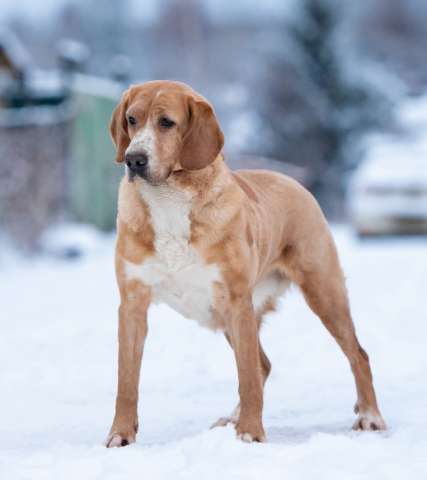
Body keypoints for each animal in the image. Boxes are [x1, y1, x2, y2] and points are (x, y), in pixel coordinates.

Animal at [104, 79, 388, 446]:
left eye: (166, 122)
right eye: (132, 119)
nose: (134, 159)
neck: (169, 198)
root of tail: (290, 180)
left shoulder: (236, 299)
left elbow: (247, 377)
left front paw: (251, 433)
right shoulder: (133, 303)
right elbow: (126, 381)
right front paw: (120, 434)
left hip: (322, 293)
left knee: (357, 355)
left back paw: (370, 416)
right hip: (229, 316)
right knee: (262, 364)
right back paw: (233, 417)